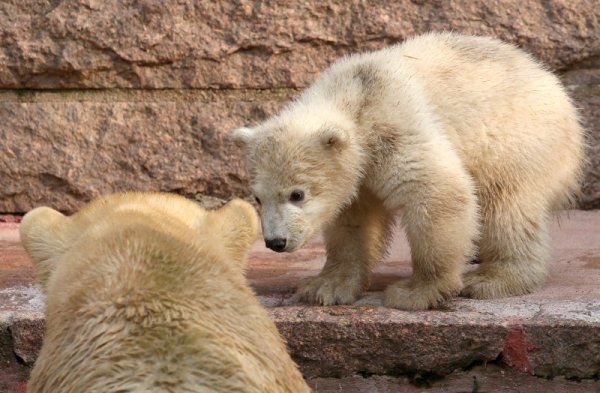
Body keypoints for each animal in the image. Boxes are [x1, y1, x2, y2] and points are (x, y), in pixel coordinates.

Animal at [233, 32, 584, 310]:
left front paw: (415, 292)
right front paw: (325, 286)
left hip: (516, 139)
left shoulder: (393, 126)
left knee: (508, 206)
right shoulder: (358, 171)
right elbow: (352, 221)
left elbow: (437, 190)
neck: (354, 95)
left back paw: (492, 277)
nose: (276, 242)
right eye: (258, 197)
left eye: (297, 194)